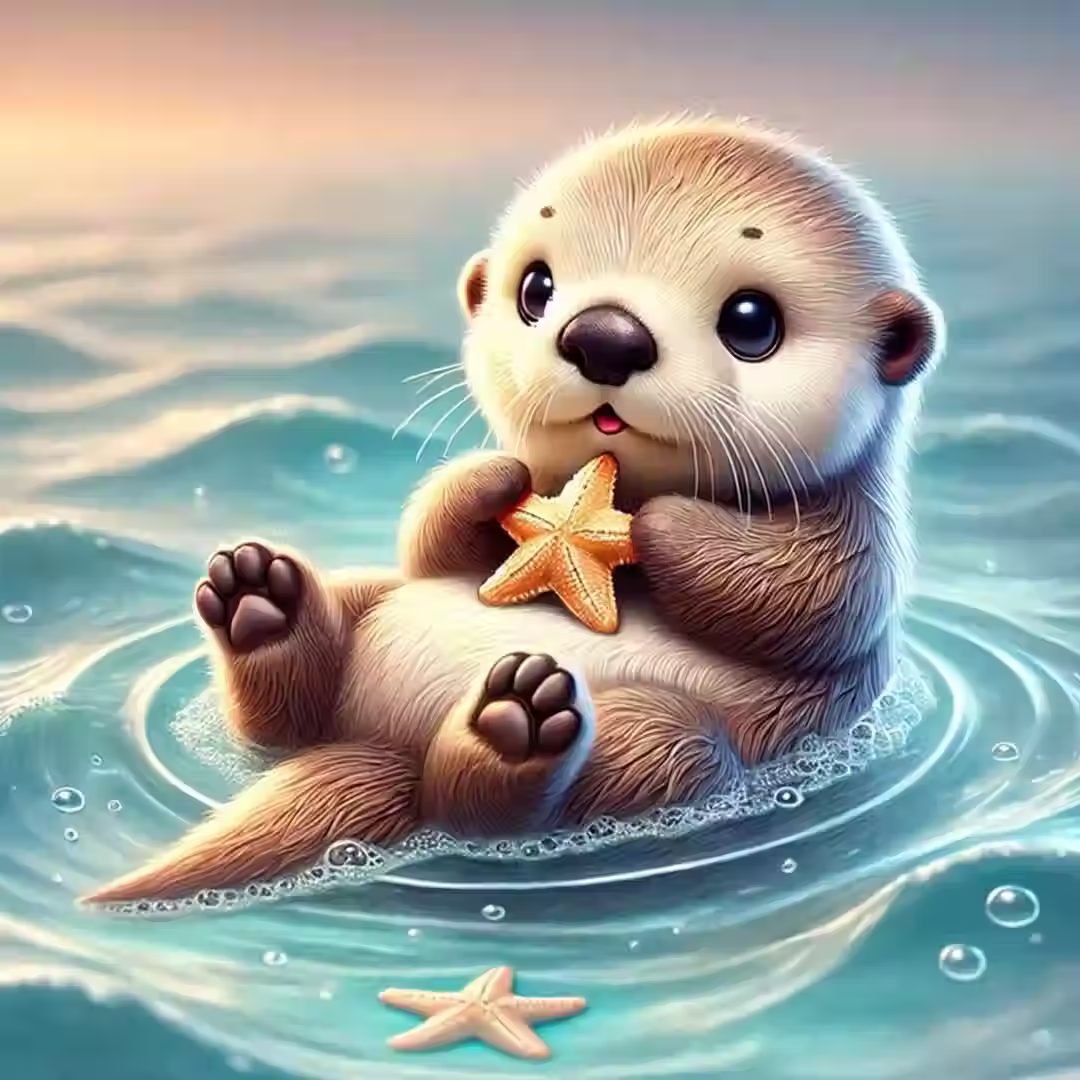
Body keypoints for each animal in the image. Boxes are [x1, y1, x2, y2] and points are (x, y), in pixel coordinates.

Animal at [85, 117, 944, 905]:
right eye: (537, 289)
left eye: (751, 320)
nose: (605, 336)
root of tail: (389, 744)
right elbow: (431, 542)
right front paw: (493, 478)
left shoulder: (860, 538)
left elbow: (809, 597)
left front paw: (658, 521)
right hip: (359, 618)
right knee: (294, 706)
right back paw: (260, 601)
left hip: (666, 742)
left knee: (541, 785)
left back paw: (511, 728)